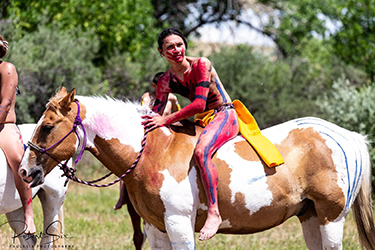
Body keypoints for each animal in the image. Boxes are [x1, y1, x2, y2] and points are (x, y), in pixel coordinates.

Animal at [19, 87, 375, 248]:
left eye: (47, 127)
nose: (24, 171)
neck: (154, 153)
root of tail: (348, 137)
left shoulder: (178, 225)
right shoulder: (157, 230)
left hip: (331, 220)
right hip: (311, 217)